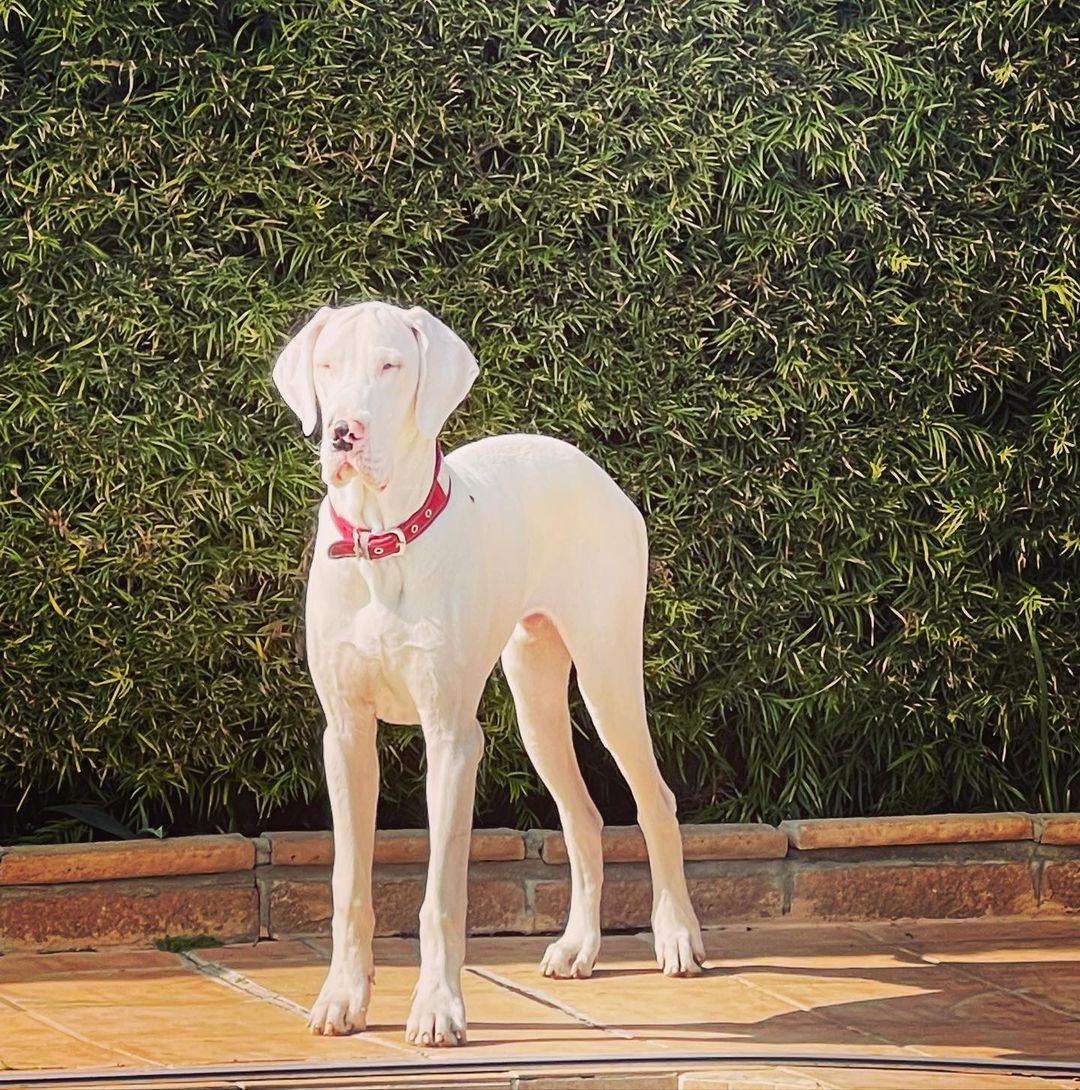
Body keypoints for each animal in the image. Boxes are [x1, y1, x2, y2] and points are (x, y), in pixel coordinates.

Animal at [274, 300, 706, 1046]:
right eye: (327, 365)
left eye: (390, 365)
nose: (343, 434)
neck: (383, 541)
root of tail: (590, 465)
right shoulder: (346, 735)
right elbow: (347, 885)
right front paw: (342, 997)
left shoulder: (452, 739)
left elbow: (441, 896)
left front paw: (437, 1008)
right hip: (535, 697)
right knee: (583, 817)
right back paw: (580, 947)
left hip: (607, 677)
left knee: (654, 800)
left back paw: (677, 935)